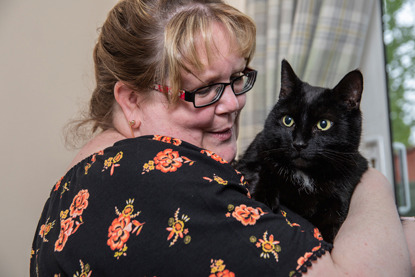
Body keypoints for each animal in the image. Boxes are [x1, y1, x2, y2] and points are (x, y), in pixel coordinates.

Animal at [236, 58, 368, 242]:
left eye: (324, 124)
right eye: (288, 120)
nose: (298, 144)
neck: (305, 175)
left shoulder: (343, 191)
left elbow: (331, 229)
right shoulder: (250, 157)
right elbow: (263, 169)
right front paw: (263, 198)